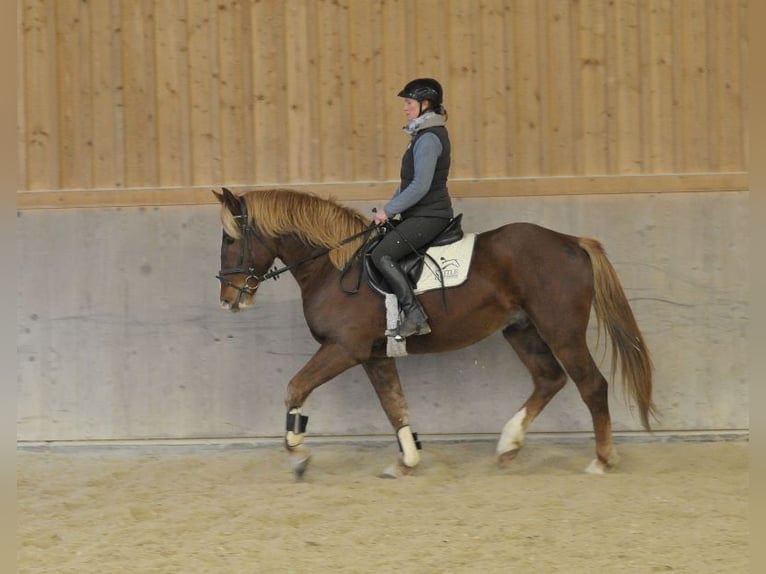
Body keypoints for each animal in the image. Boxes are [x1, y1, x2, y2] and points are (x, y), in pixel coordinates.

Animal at [213, 187, 656, 480]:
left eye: (230, 240)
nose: (228, 300)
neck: (335, 268)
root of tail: (572, 242)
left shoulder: (344, 349)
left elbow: (295, 388)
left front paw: (297, 456)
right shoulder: (374, 355)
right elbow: (395, 406)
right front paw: (405, 461)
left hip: (561, 330)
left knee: (591, 385)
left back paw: (601, 459)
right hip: (522, 329)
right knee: (549, 379)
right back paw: (509, 446)